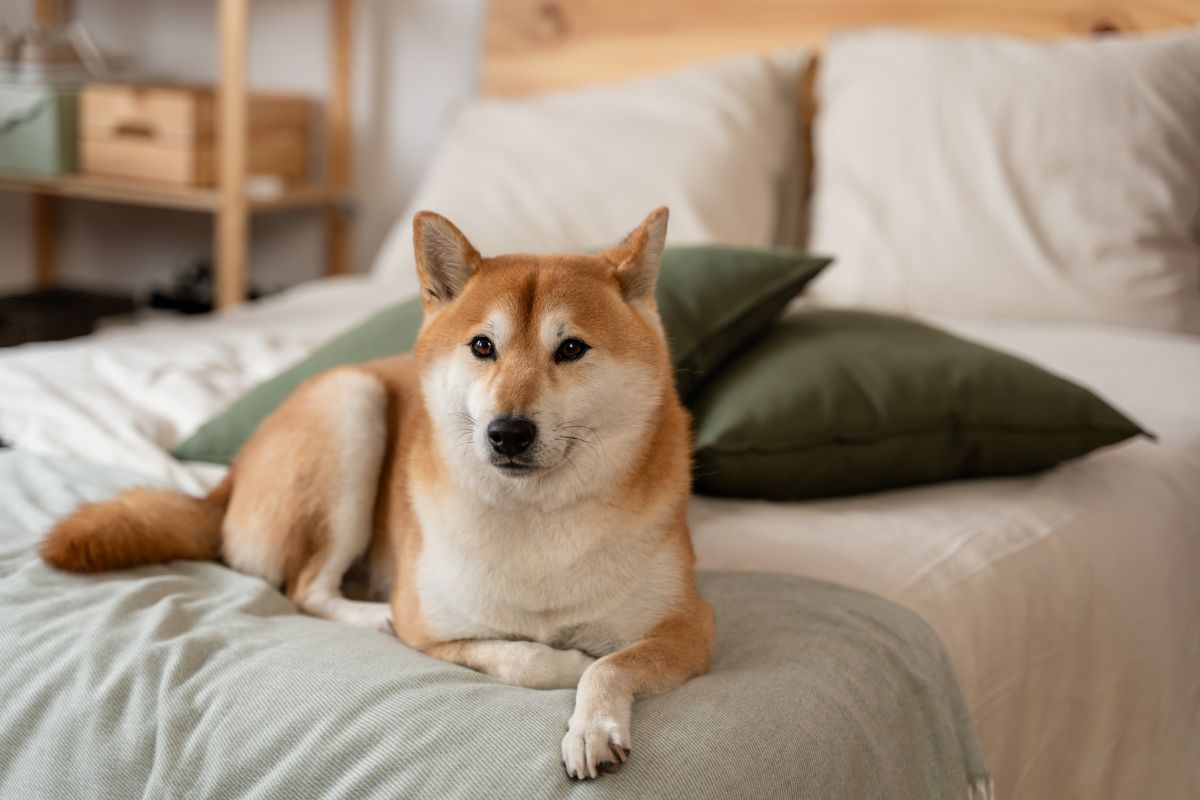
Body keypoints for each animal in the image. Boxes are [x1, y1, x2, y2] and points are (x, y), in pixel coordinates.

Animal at [42, 206, 710, 782]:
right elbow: (530, 657)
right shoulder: (431, 628)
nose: (508, 432)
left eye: (571, 348)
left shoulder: (690, 629)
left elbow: (613, 665)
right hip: (350, 407)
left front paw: (592, 725)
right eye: (483, 346)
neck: (535, 517)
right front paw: (569, 664)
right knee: (306, 588)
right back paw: (371, 615)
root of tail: (226, 480)